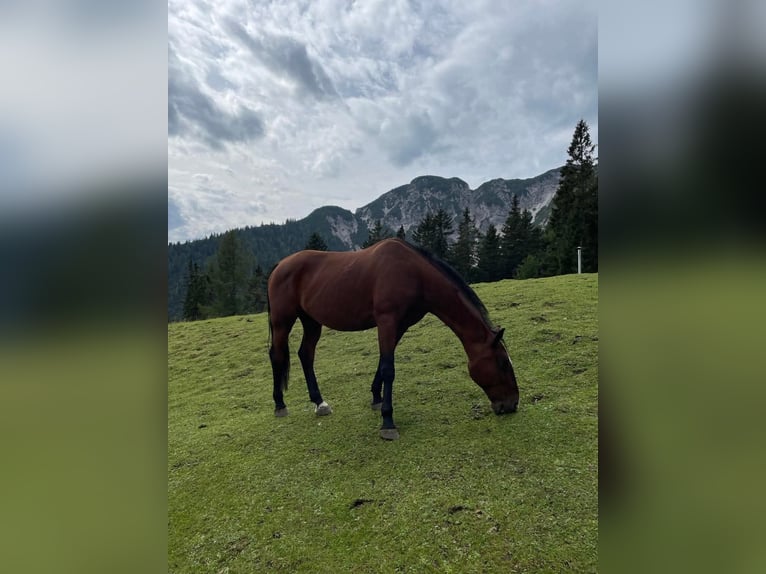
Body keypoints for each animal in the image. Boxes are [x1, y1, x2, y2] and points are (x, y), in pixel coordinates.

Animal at [268, 238, 520, 440]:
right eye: (502, 363)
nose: (512, 404)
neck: (414, 274)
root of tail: (280, 265)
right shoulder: (387, 321)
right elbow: (389, 369)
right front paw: (387, 422)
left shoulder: (400, 326)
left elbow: (382, 363)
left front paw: (376, 398)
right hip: (282, 321)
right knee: (277, 356)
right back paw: (280, 404)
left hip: (311, 321)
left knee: (305, 354)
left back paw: (320, 402)